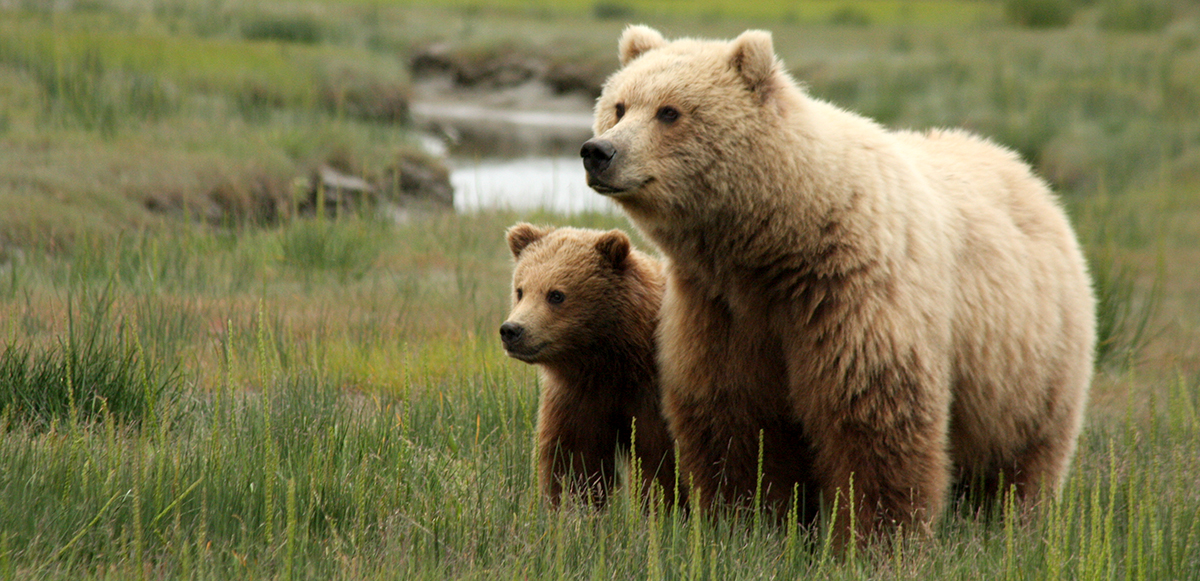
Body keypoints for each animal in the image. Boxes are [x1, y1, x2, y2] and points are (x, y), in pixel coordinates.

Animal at [500, 223, 683, 508]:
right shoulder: (579, 399)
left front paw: (659, 509)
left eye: (556, 295)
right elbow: (575, 464)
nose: (512, 330)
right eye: (520, 290)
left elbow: (660, 463)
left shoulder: (653, 398)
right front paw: (573, 507)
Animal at [580, 25, 1095, 544]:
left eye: (669, 111)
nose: (598, 152)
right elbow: (734, 423)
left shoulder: (850, 297)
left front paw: (875, 539)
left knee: (1021, 459)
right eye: (619, 106)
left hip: (1029, 359)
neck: (774, 248)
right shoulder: (720, 310)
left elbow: (872, 423)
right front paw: (745, 526)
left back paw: (1013, 525)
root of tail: (1028, 174)